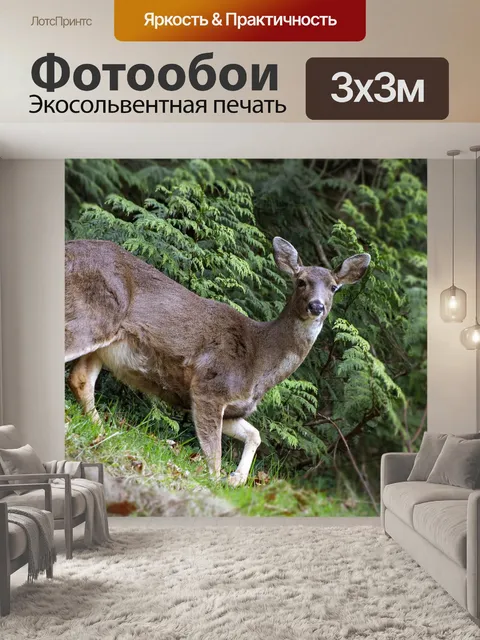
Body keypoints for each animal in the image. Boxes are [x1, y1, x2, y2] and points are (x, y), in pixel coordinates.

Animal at [65, 238, 370, 486]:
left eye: (334, 287)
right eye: (301, 281)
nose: (316, 306)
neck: (259, 360)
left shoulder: (233, 408)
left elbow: (255, 434)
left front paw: (237, 479)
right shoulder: (209, 387)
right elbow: (214, 453)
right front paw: (216, 479)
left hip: (102, 341)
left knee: (80, 378)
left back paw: (101, 430)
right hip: (94, 314)